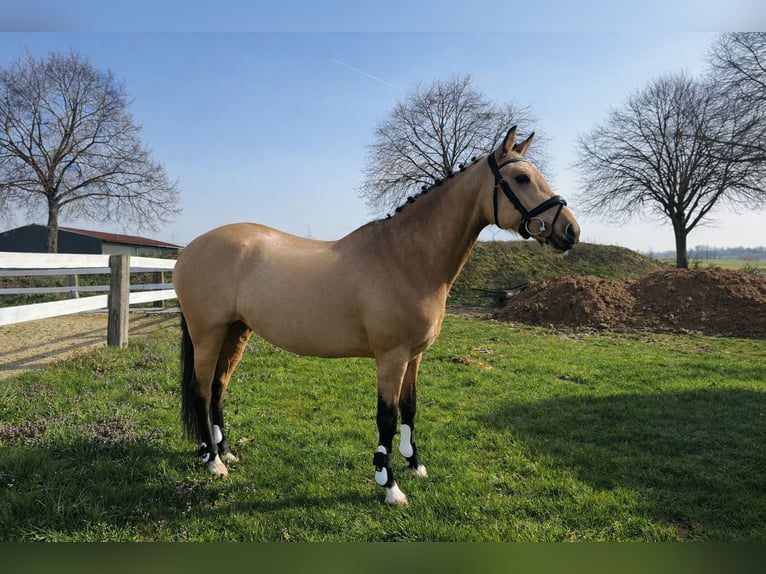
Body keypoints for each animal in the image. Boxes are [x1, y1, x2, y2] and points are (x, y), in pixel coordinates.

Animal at [173, 126, 580, 505]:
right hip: (208, 334)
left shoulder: (414, 356)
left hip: (236, 332)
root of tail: (189, 250)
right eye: (522, 178)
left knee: (218, 388)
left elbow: (409, 408)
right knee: (201, 391)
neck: (405, 258)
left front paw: (415, 465)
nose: (570, 231)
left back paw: (224, 451)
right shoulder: (391, 357)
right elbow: (387, 418)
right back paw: (214, 462)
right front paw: (390, 485)